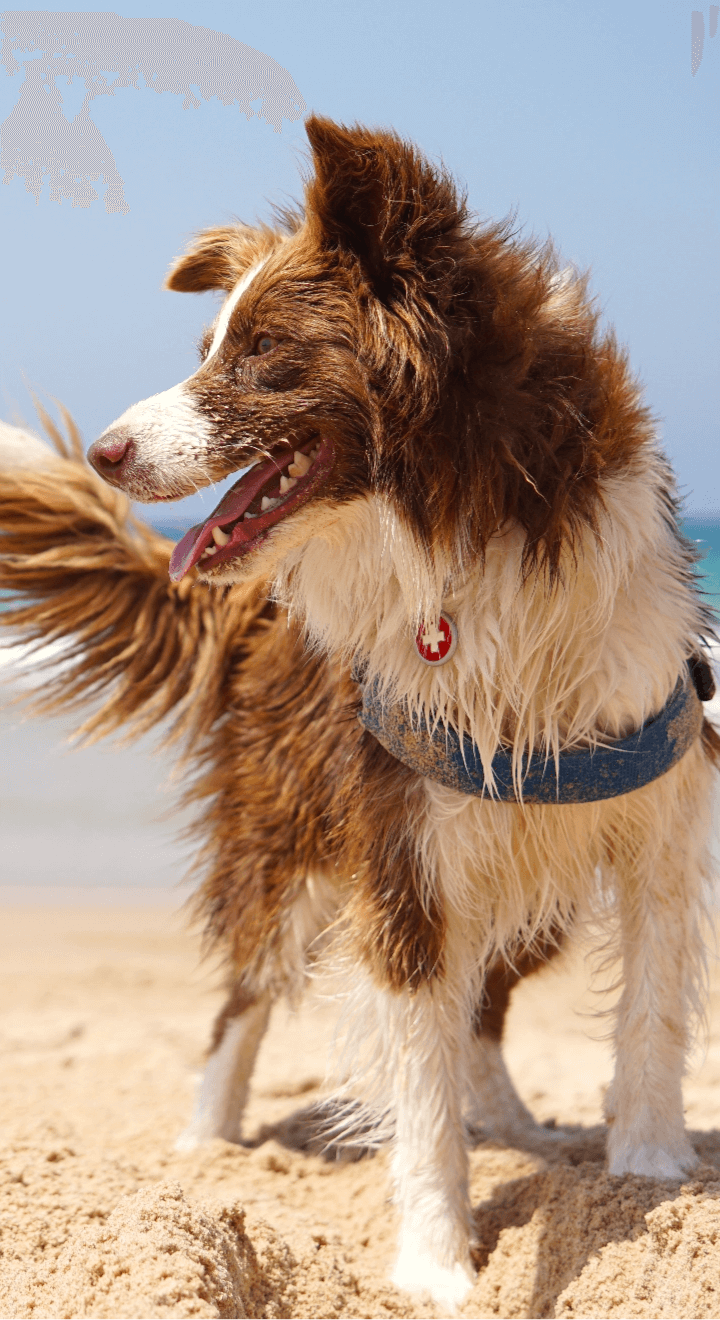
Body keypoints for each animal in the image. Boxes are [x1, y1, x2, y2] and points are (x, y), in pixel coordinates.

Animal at [2, 116, 713, 1309]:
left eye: (257, 353)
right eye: (208, 345)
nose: (104, 452)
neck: (467, 523)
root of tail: (245, 605)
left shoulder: (651, 812)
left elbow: (650, 1012)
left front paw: (648, 1177)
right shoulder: (400, 844)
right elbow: (417, 1090)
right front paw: (435, 1267)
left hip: (533, 860)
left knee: (484, 1004)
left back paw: (518, 1127)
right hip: (282, 834)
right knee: (244, 994)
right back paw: (204, 1143)